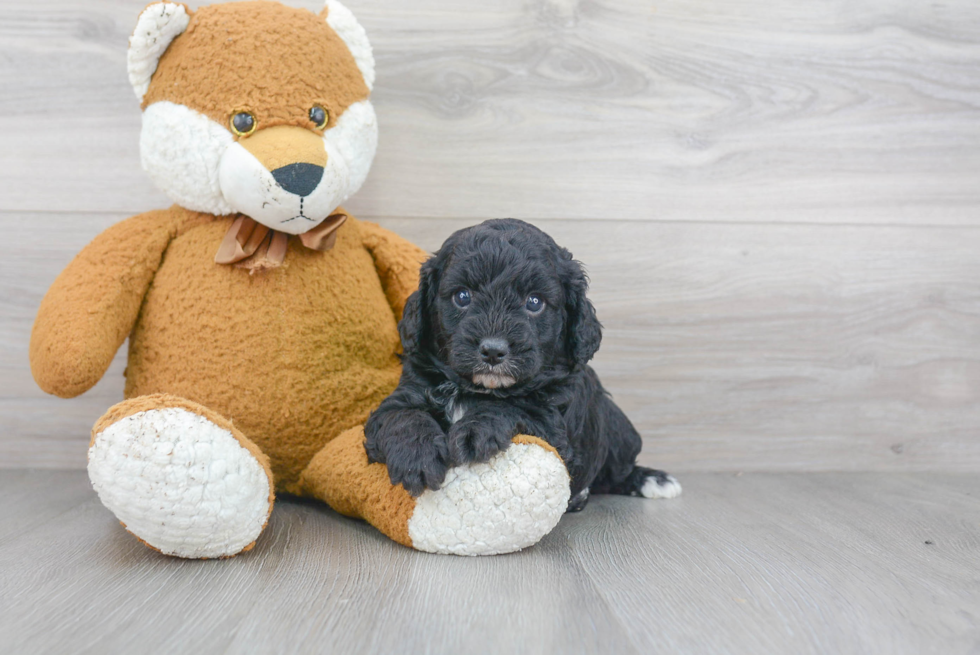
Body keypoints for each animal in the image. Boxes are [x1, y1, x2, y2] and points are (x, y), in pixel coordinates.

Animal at [362, 220, 680, 512]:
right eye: (462, 296)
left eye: (535, 302)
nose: (493, 351)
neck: (477, 390)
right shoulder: (404, 394)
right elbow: (402, 415)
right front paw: (416, 456)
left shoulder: (554, 425)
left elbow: (515, 406)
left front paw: (475, 431)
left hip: (619, 430)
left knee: (618, 470)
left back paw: (651, 480)